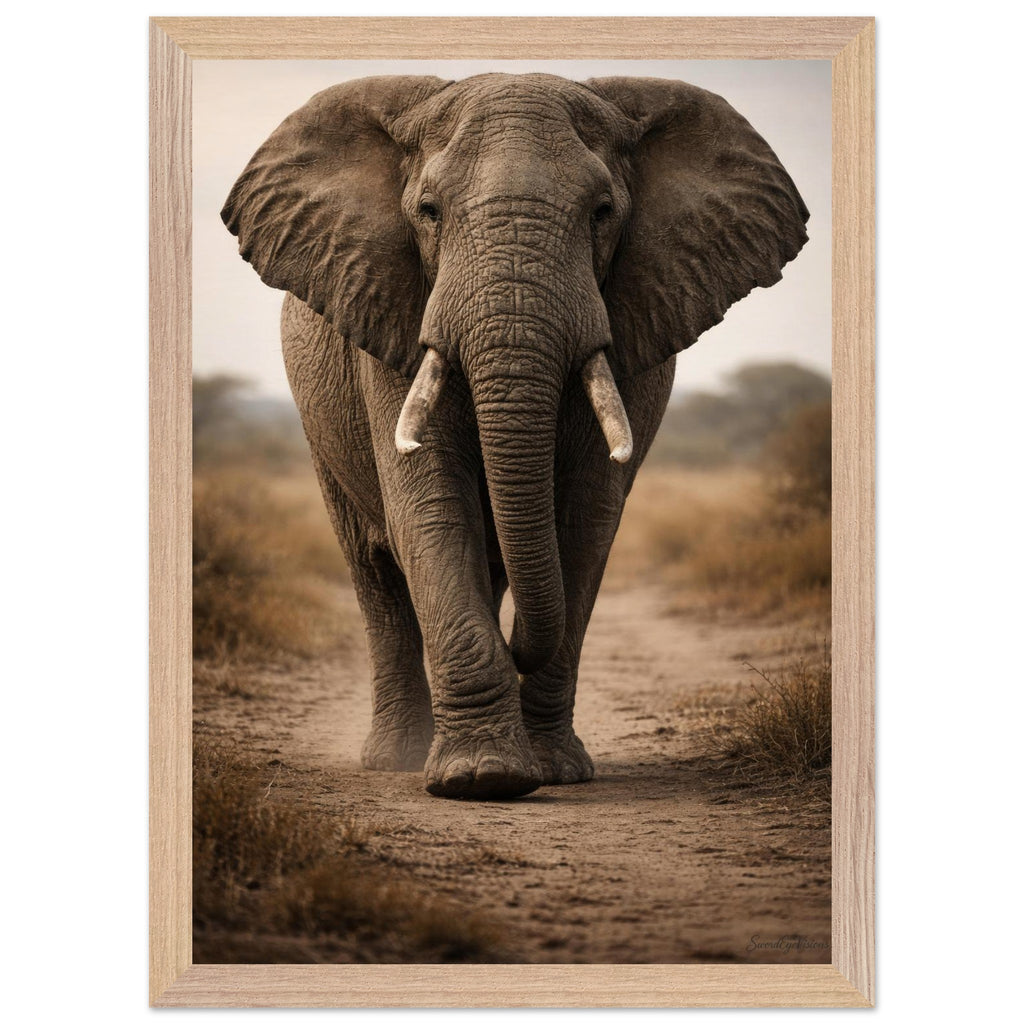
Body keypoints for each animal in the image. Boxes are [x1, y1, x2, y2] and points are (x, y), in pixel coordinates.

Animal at [221, 73, 808, 800]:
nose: (517, 645)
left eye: (602, 212)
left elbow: (587, 521)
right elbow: (430, 506)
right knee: (376, 574)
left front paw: (553, 771)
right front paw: (483, 778)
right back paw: (396, 759)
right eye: (429, 211)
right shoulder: (392, 321)